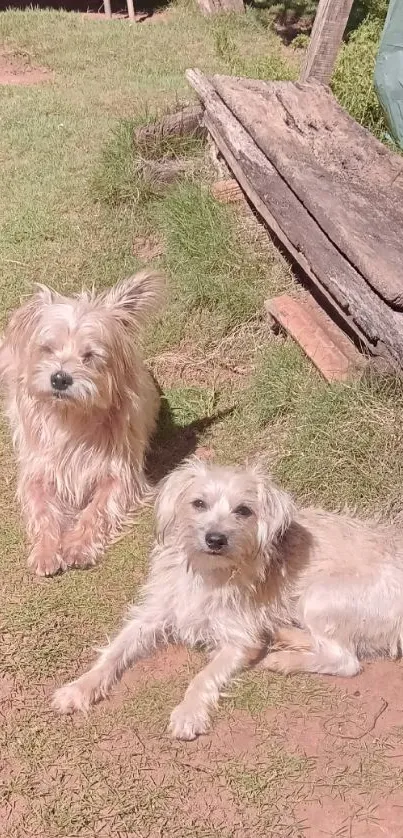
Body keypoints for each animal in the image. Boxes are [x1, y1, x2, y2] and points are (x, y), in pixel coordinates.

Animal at [0, 270, 165, 576]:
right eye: (48, 349)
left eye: (89, 356)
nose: (60, 378)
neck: (71, 419)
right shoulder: (36, 472)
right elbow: (42, 511)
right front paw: (46, 550)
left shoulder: (120, 473)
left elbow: (96, 510)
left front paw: (78, 545)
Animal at [51, 460, 403, 740]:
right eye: (198, 503)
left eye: (243, 510)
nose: (215, 539)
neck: (206, 572)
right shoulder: (152, 613)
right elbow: (113, 652)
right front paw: (79, 687)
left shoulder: (238, 639)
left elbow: (203, 676)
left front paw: (188, 713)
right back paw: (285, 636)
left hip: (319, 594)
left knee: (345, 660)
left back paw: (284, 660)